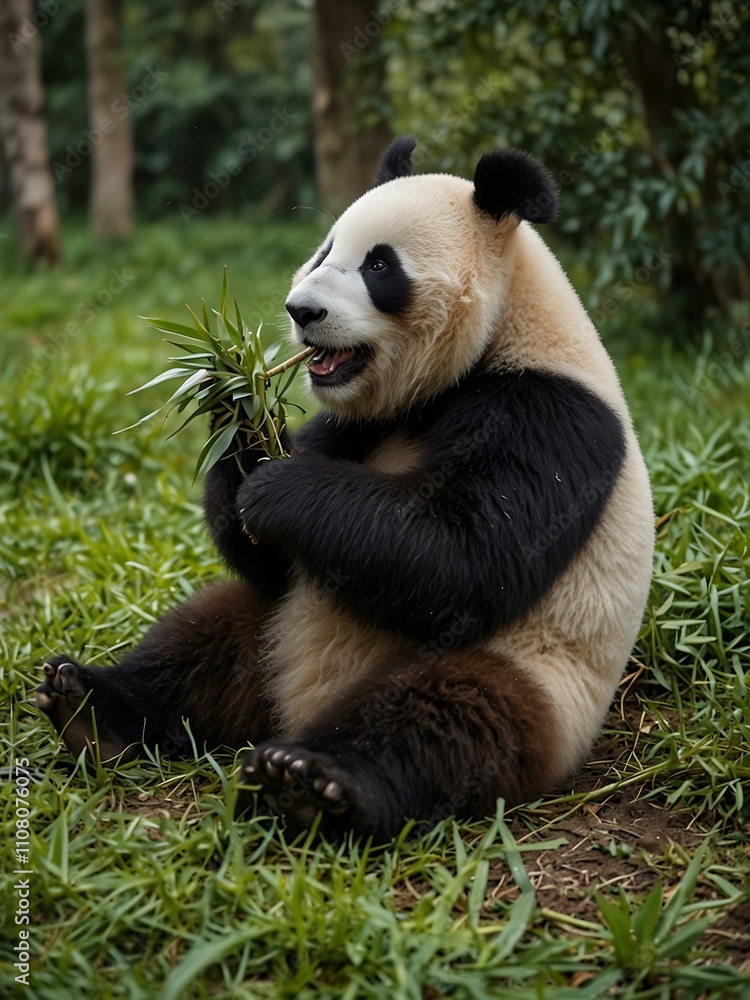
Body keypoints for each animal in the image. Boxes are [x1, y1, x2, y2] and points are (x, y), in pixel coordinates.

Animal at [36, 136, 654, 839]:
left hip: (535, 679)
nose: (302, 311)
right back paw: (89, 708)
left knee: (439, 715)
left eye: (380, 266)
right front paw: (238, 407)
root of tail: (298, 706)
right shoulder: (357, 422)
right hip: (273, 623)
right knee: (199, 638)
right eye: (324, 250)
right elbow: (270, 552)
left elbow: (468, 556)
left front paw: (280, 488)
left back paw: (311, 781)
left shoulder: (548, 413)